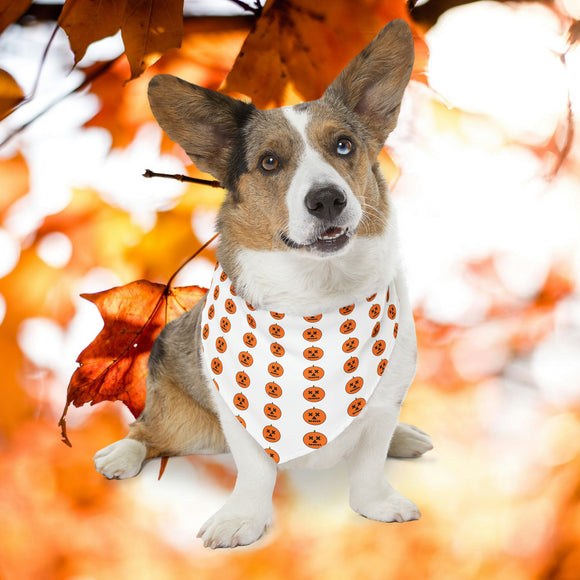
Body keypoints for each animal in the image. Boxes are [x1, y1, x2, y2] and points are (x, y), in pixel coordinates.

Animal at [93, 19, 432, 548]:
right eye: (270, 162)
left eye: (344, 145)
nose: (327, 200)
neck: (317, 302)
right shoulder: (239, 416)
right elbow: (254, 473)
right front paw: (240, 520)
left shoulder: (383, 403)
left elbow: (369, 464)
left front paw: (376, 504)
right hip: (187, 424)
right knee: (147, 433)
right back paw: (121, 454)